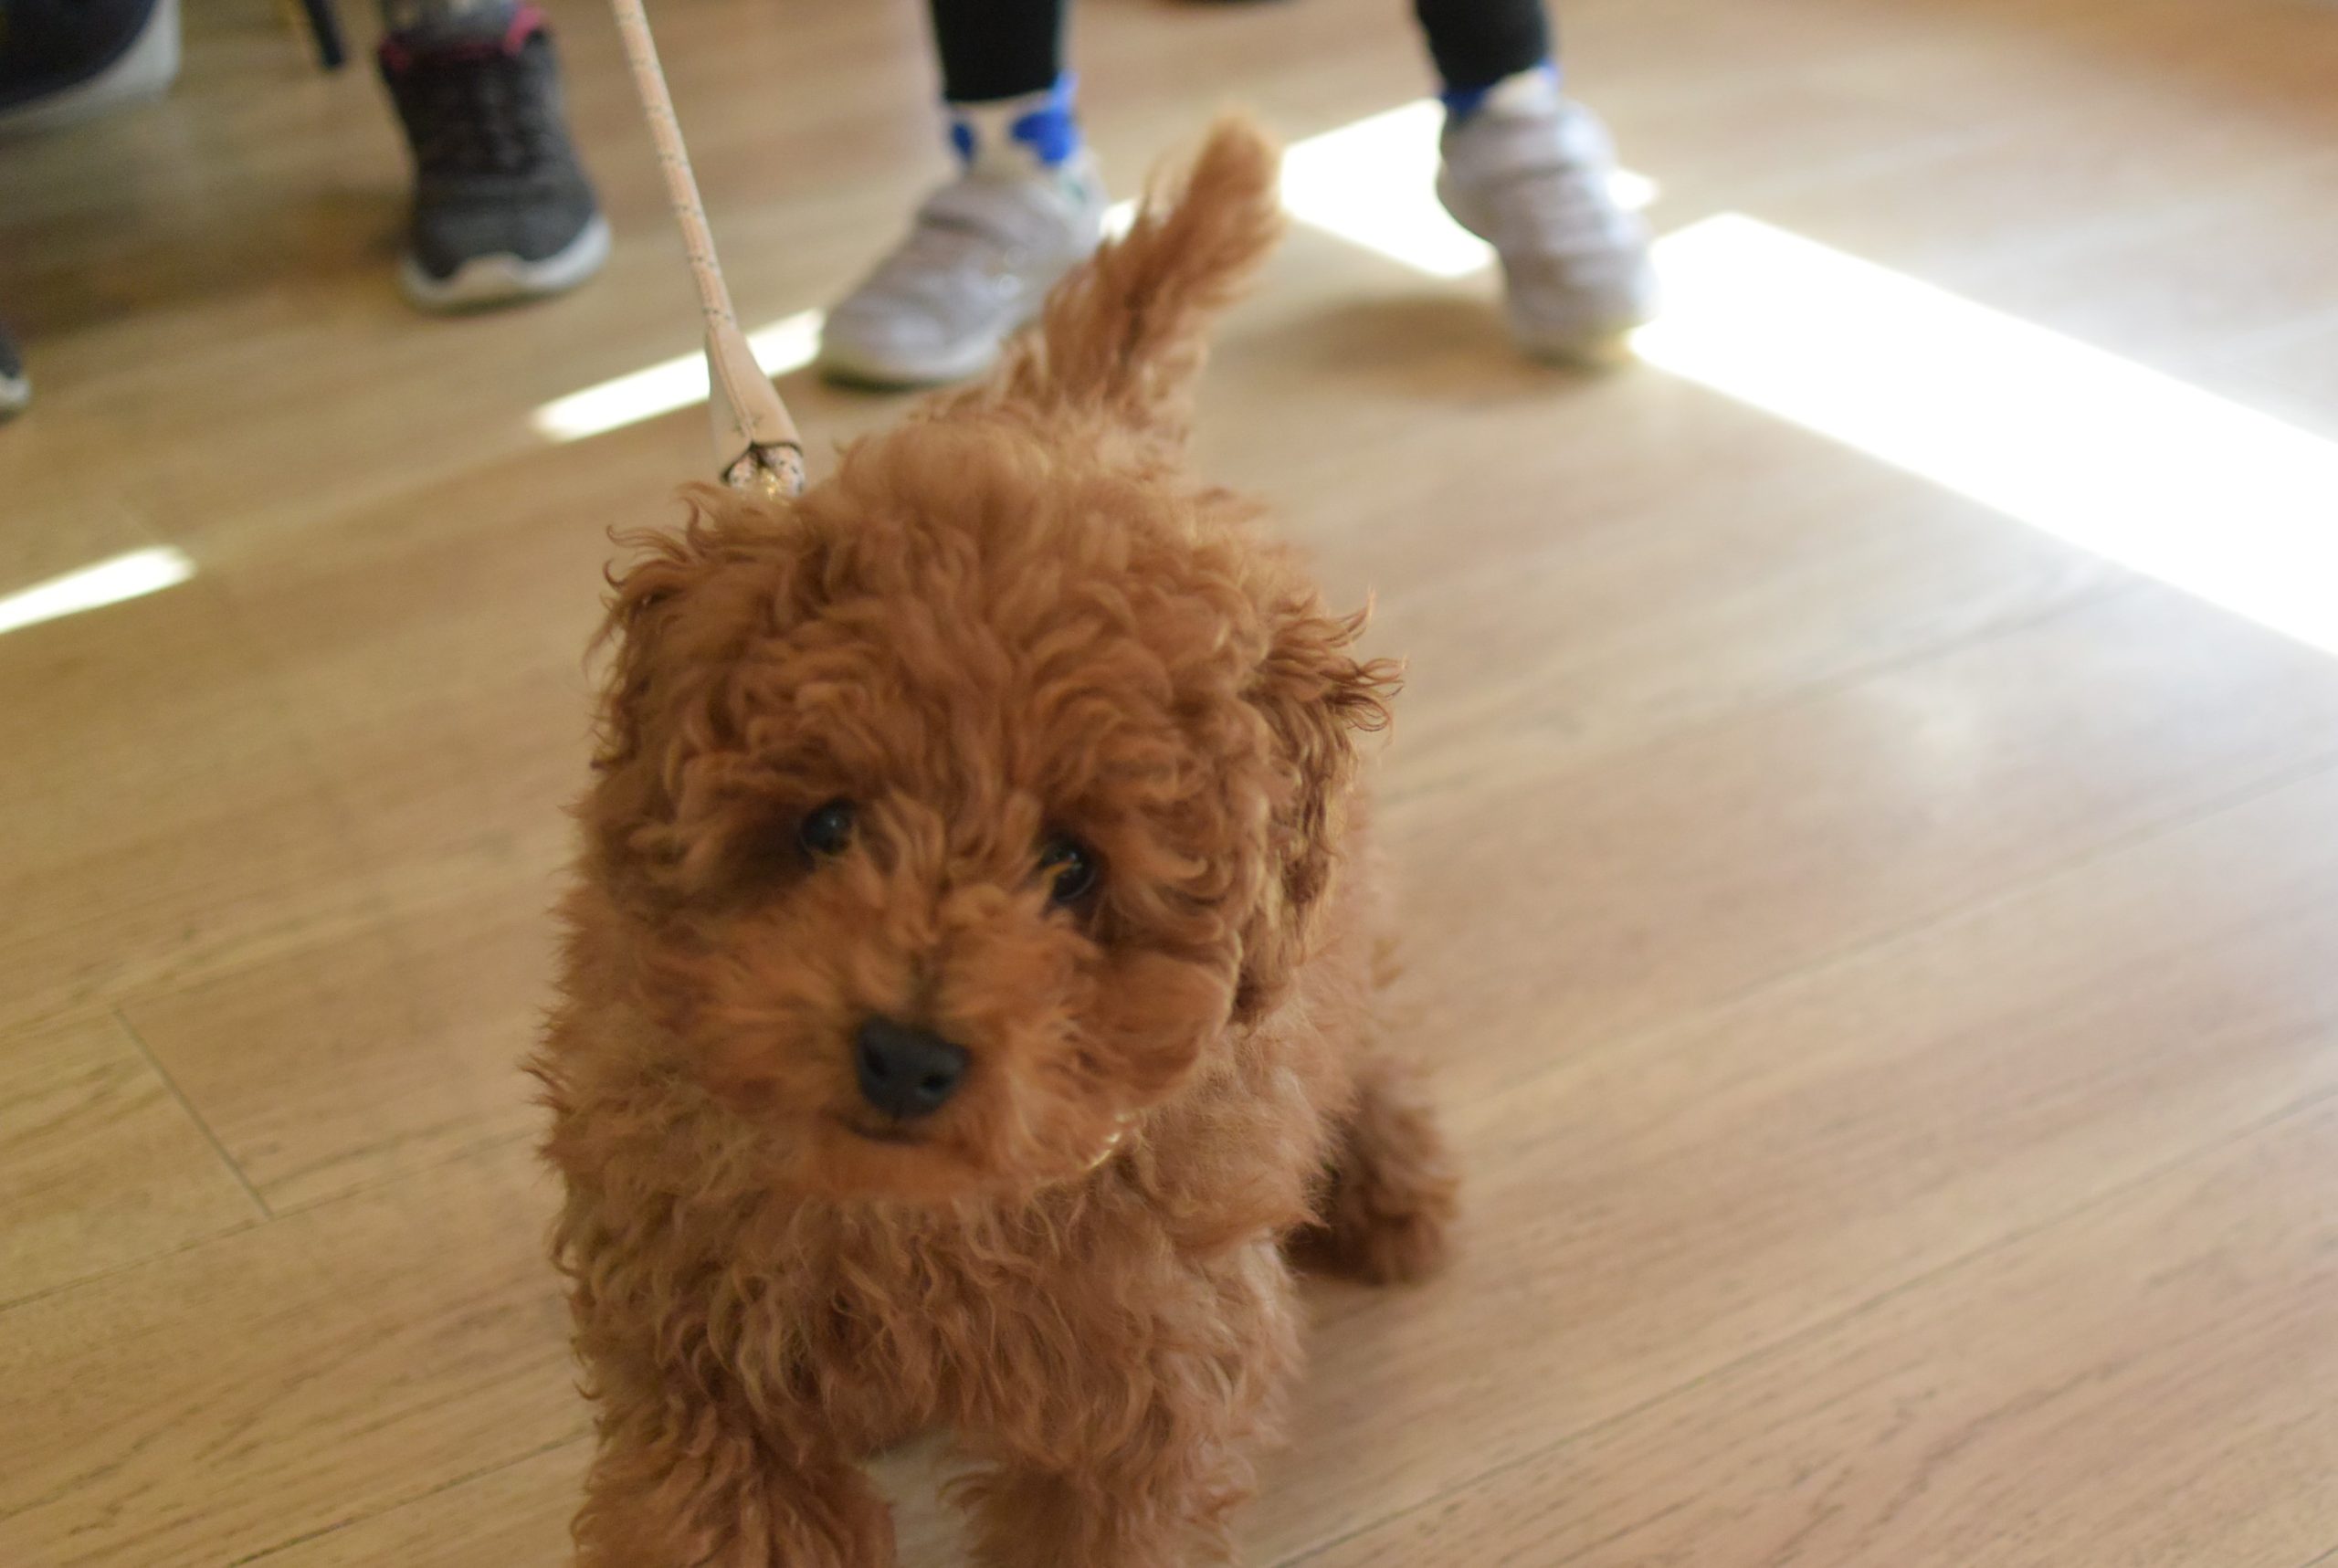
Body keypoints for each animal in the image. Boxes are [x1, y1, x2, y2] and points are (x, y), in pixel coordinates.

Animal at [534, 116, 1457, 1568]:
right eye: (829, 825)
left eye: (1072, 868)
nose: (906, 1054)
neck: (917, 1216)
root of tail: (1086, 422)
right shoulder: (697, 1347)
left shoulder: (1145, 1385)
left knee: (1358, 1038)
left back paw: (1389, 1184)